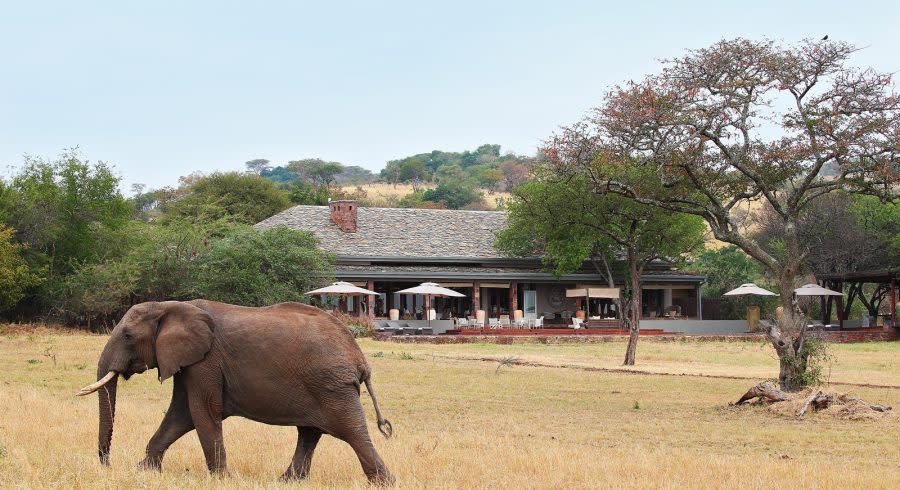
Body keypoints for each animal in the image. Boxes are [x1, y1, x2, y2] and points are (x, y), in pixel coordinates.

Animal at [79, 300, 396, 484]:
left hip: (332, 387)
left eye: (128, 336)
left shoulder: (206, 361)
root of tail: (359, 357)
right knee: (310, 433)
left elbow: (202, 412)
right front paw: (144, 471)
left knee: (352, 432)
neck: (171, 306)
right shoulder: (190, 362)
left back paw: (384, 483)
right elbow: (181, 415)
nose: (107, 465)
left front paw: (223, 479)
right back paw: (285, 481)